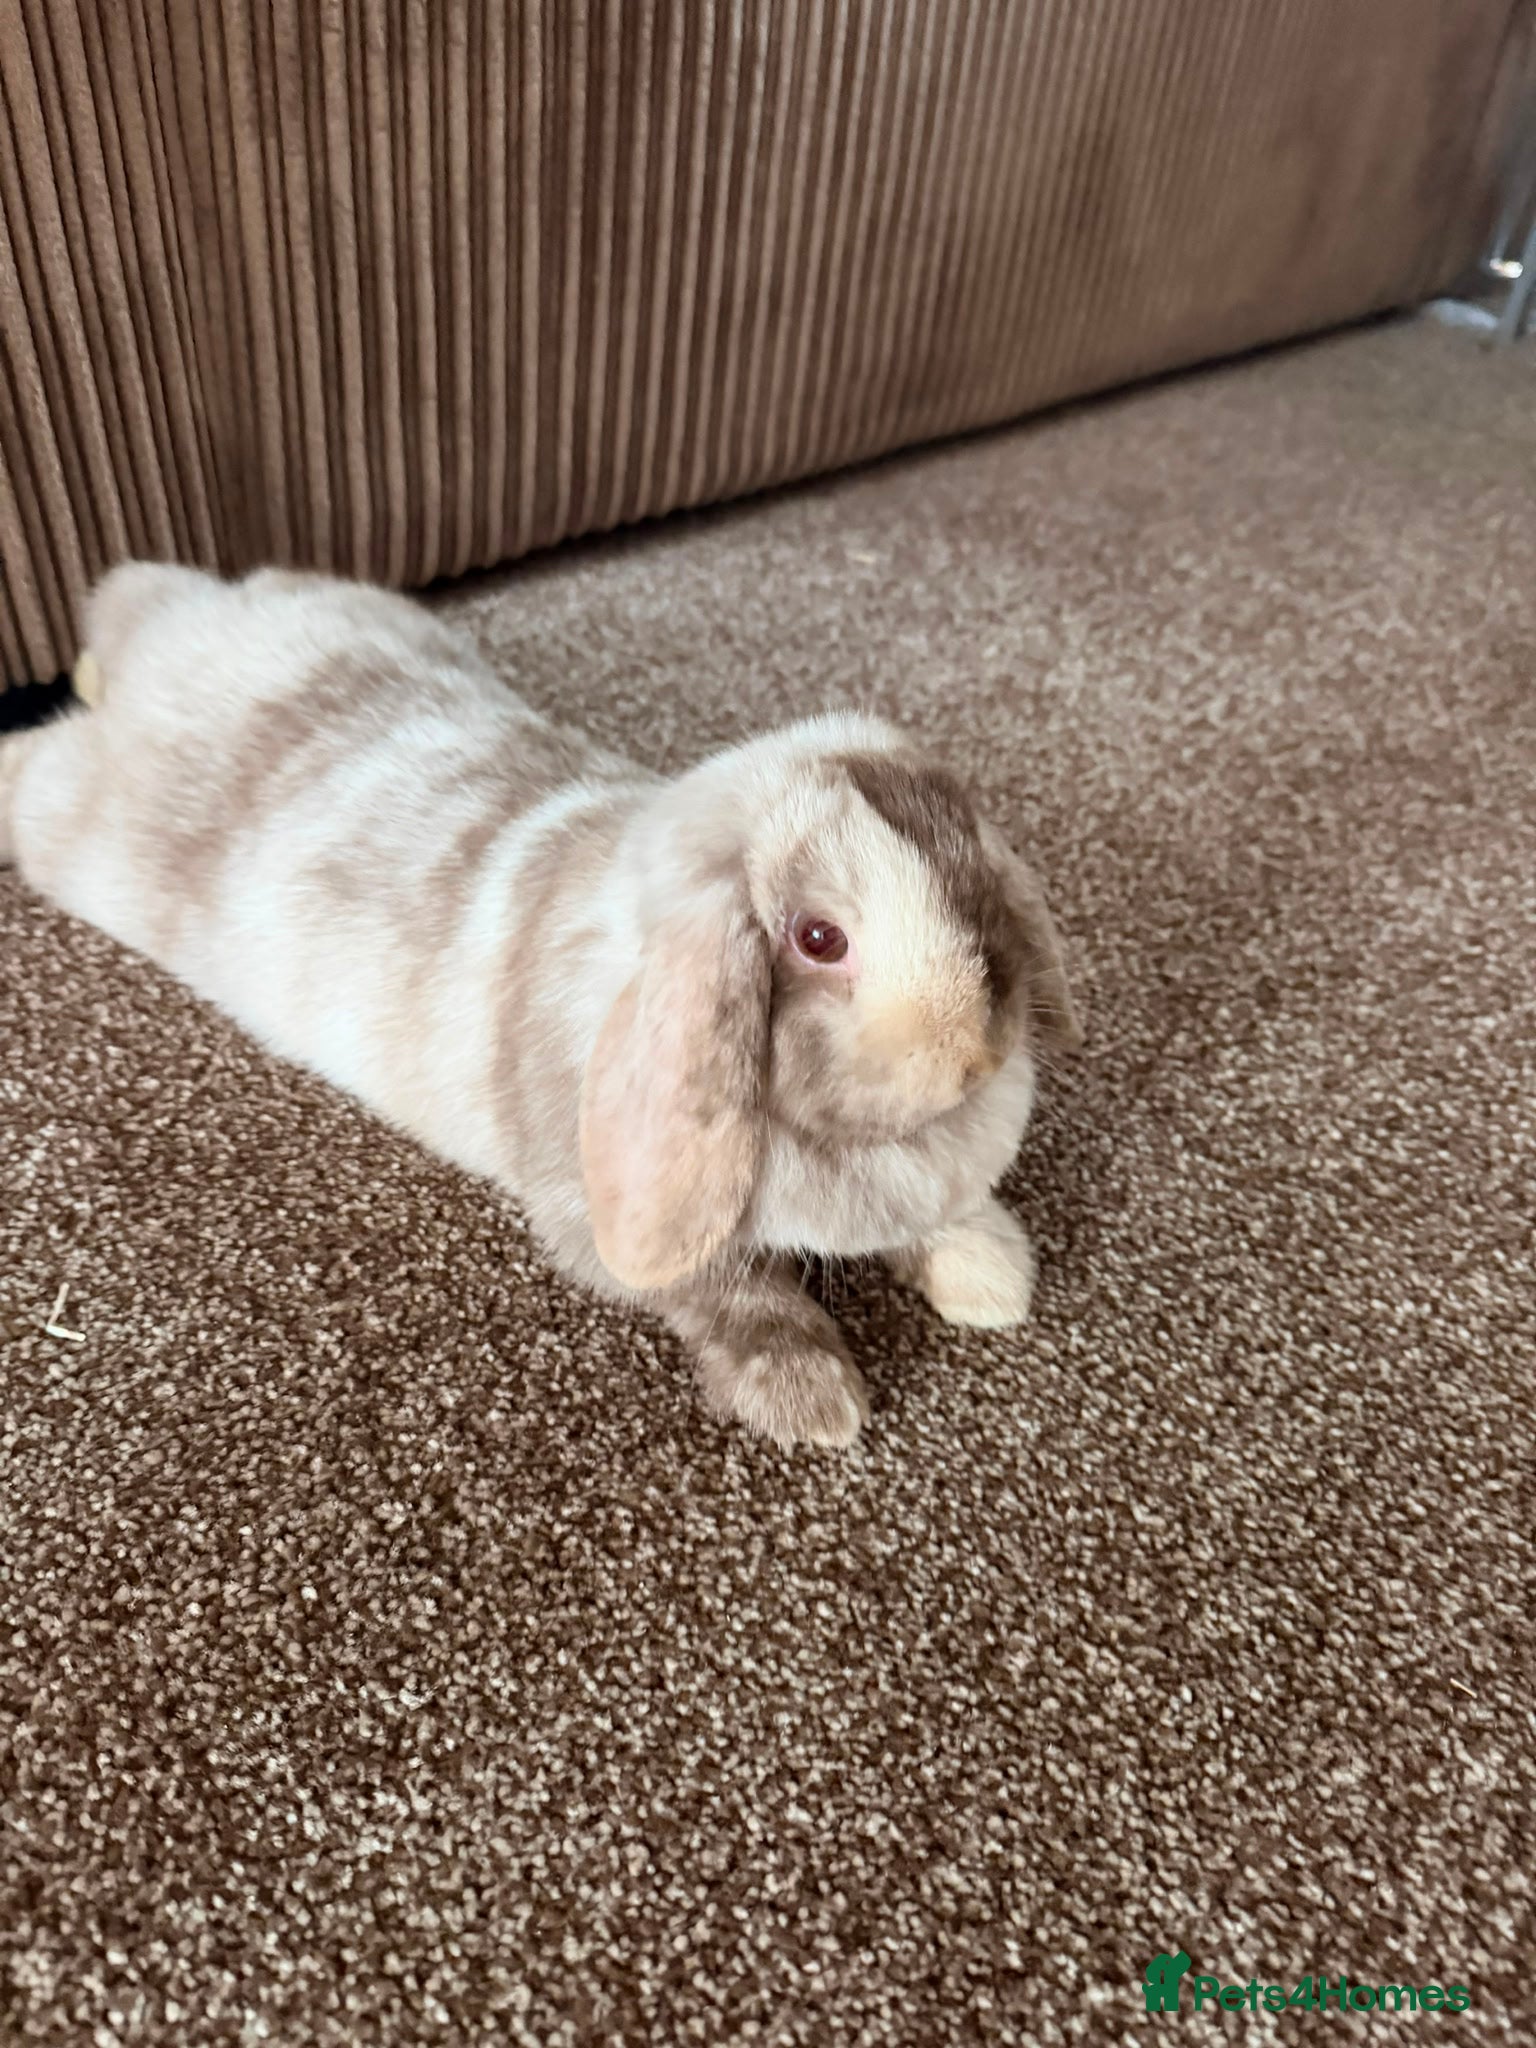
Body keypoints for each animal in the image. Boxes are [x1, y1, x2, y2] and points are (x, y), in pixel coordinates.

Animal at [1, 562, 1081, 1448]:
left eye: (974, 881)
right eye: (820, 939)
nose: (976, 1053)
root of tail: (200, 619)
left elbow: (934, 1223)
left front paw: (991, 1272)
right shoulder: (611, 1219)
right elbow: (737, 1295)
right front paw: (812, 1400)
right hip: (74, 829)